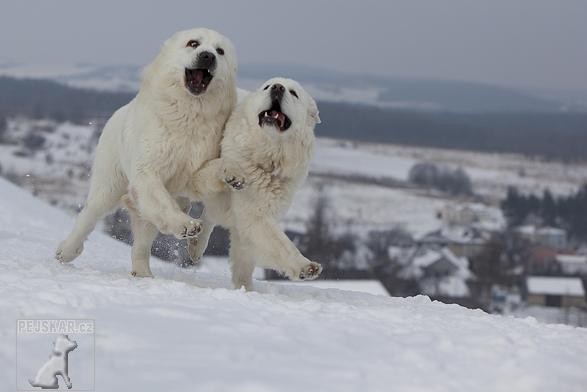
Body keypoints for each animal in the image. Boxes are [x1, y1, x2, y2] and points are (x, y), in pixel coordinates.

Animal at [56, 27, 238, 276]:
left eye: (220, 51)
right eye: (193, 43)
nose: (208, 56)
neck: (190, 115)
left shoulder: (195, 168)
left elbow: (207, 174)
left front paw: (233, 171)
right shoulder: (148, 170)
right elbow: (161, 199)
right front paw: (187, 225)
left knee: (142, 241)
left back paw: (143, 274)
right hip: (110, 182)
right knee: (90, 214)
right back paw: (66, 251)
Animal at [185, 78, 324, 290]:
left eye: (294, 93)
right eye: (267, 86)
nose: (278, 88)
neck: (267, 157)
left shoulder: (255, 211)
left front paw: (245, 290)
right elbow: (280, 242)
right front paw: (305, 266)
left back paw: (196, 247)